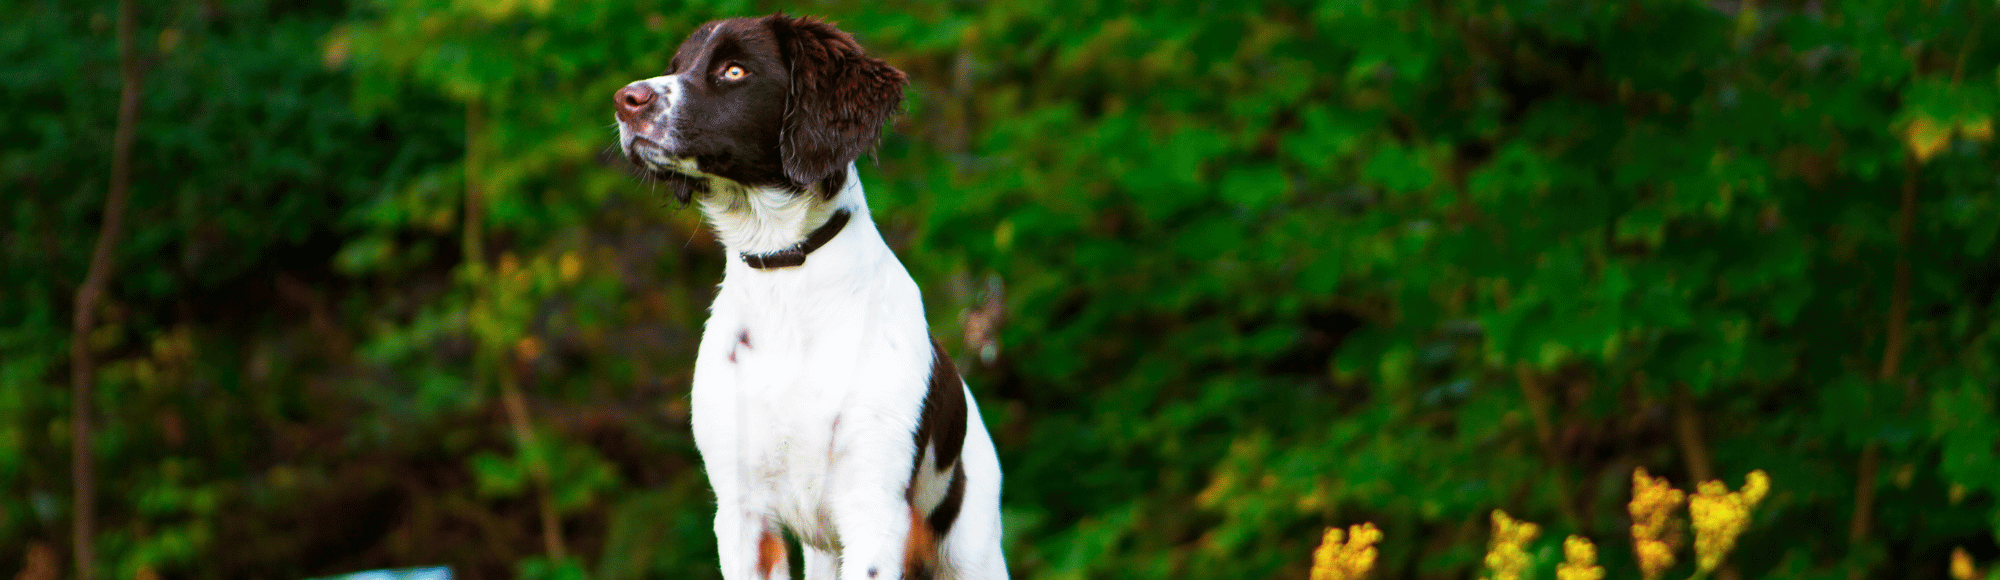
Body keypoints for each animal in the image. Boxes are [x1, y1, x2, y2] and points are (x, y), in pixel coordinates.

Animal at [604, 12, 1016, 580]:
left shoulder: (873, 506)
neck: (785, 273)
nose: (627, 99)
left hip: (972, 549)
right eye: (677, 65)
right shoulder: (742, 511)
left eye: (734, 70)